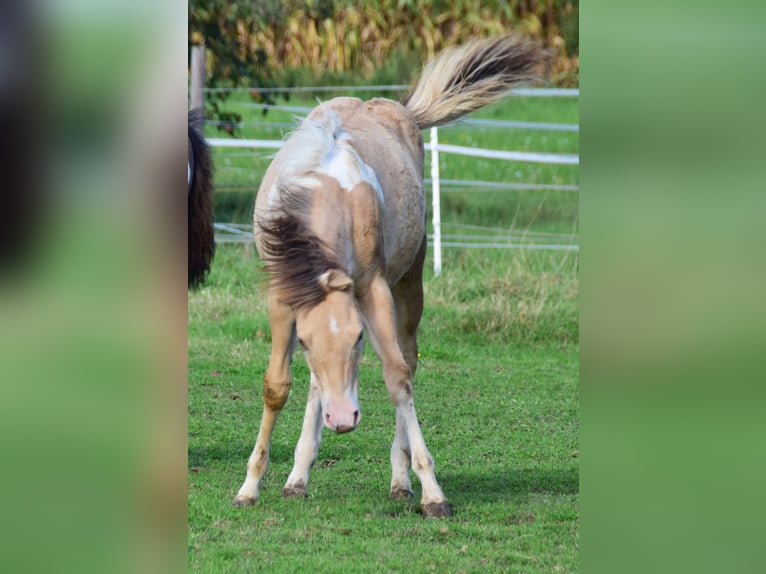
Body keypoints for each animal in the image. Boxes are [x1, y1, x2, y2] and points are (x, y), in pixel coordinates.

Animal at [232, 37, 544, 520]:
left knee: (408, 359)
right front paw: (250, 486)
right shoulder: (283, 300)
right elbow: (277, 386)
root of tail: (400, 111)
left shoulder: (372, 289)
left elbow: (398, 378)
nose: (343, 420)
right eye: (303, 342)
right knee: (317, 385)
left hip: (409, 283)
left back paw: (400, 482)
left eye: (360, 338)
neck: (323, 188)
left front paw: (431, 491)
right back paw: (298, 477)